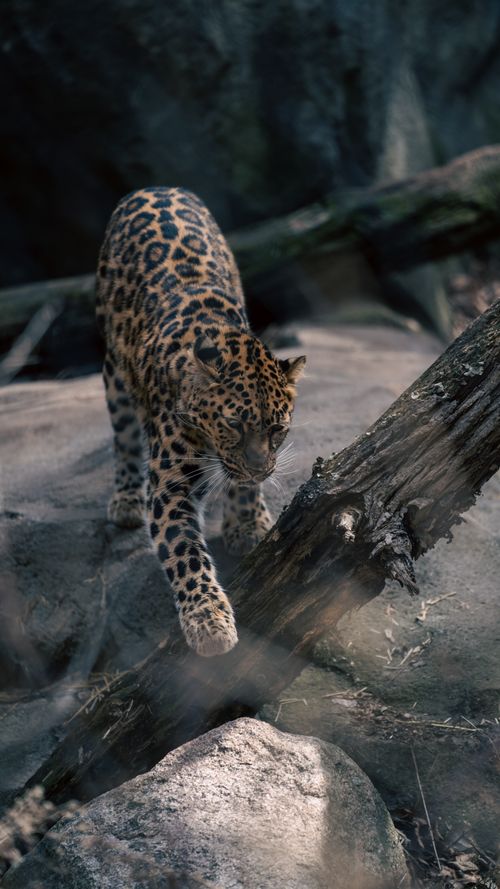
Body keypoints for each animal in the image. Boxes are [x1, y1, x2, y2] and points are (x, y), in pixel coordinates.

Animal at [96, 187, 306, 657]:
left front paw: (247, 523)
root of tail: (154, 188)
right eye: (233, 424)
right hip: (114, 368)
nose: (260, 469)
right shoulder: (170, 486)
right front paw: (208, 621)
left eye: (277, 430)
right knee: (122, 435)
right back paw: (124, 498)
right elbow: (185, 554)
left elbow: (242, 491)